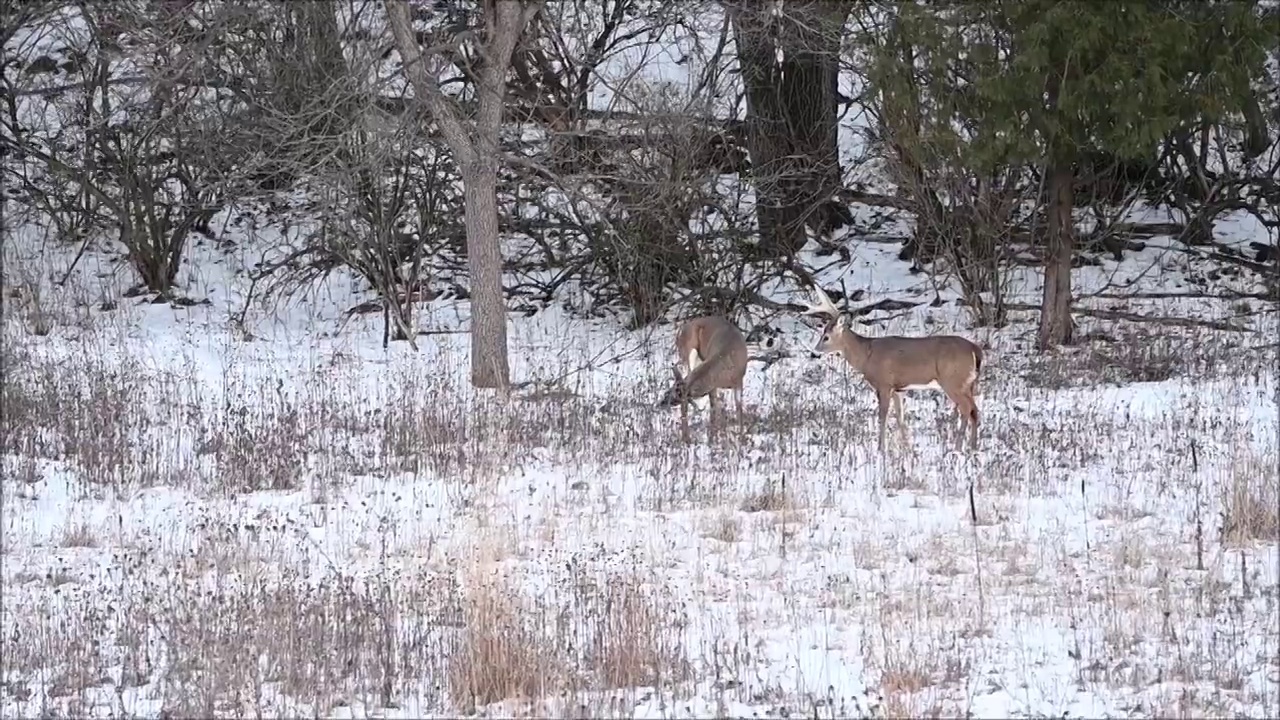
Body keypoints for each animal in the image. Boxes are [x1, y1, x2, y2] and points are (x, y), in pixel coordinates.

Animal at [803, 283, 983, 450]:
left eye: (826, 337)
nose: (814, 353)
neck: (866, 354)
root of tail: (975, 350)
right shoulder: (899, 389)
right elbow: (900, 417)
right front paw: (907, 448)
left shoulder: (884, 384)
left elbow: (883, 415)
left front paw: (881, 448)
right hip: (968, 383)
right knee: (974, 410)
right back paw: (973, 446)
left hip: (953, 380)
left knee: (966, 409)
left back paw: (958, 447)